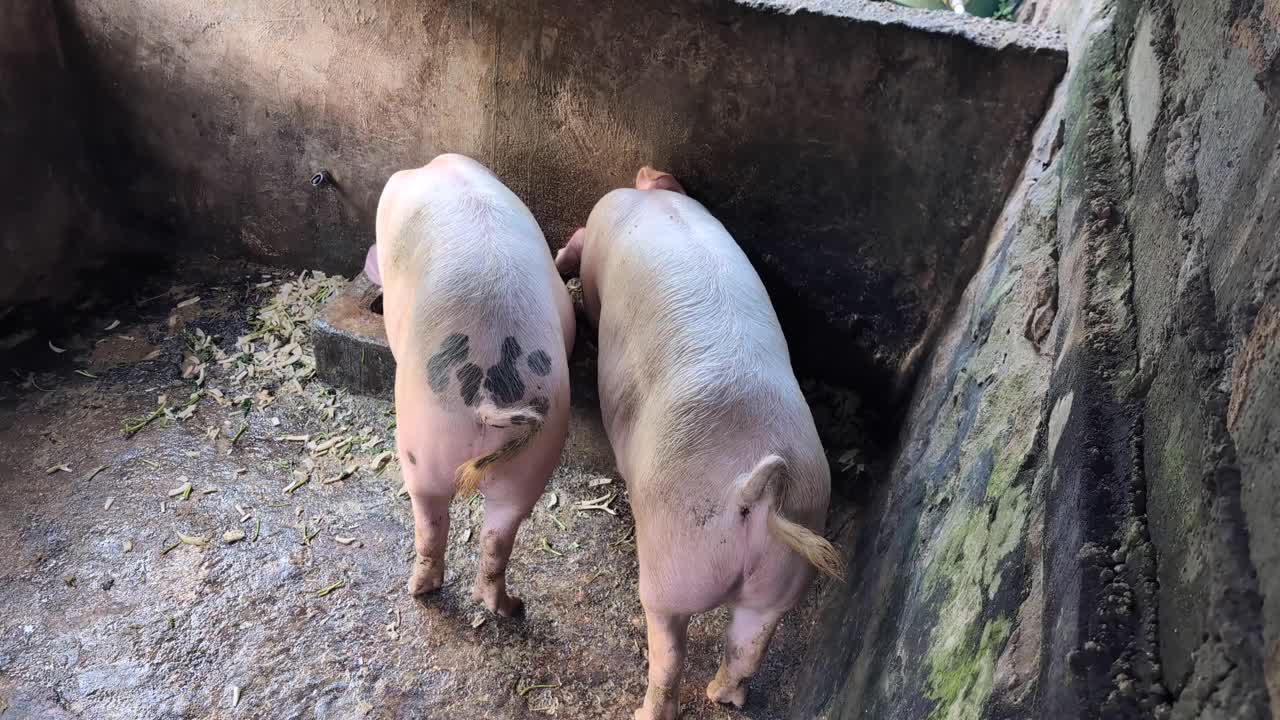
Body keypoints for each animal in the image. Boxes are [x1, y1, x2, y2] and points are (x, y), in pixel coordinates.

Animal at [372, 153, 575, 616]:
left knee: (430, 522)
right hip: (533, 457)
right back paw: (508, 607)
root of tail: (485, 393)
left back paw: (418, 589)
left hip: (420, 439)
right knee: (498, 536)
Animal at [556, 166, 843, 719]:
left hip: (672, 567)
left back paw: (646, 712)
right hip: (782, 579)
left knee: (668, 653)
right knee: (747, 646)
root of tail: (754, 492)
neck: (653, 199)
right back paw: (722, 698)